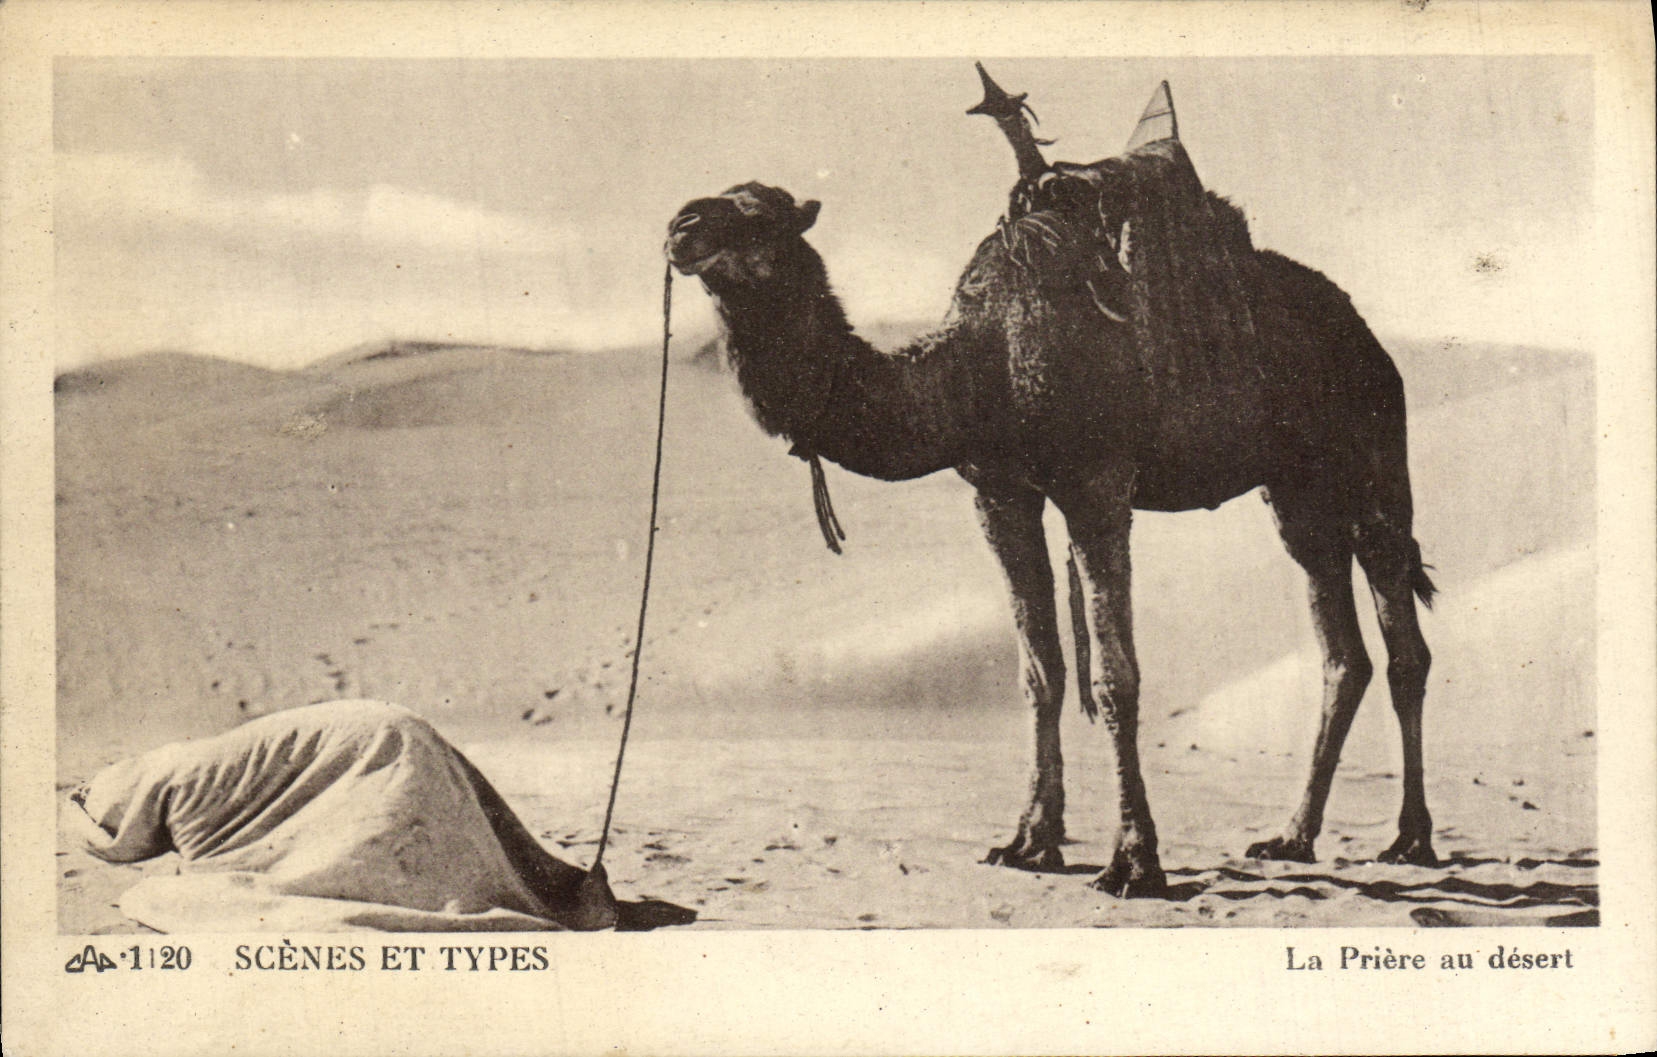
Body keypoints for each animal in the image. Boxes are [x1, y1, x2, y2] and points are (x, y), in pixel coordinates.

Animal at [663, 73, 1436, 896]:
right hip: (1296, 491)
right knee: (1342, 652)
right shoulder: (999, 494)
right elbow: (1040, 671)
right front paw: (1029, 840)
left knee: (1402, 644)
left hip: (1372, 457)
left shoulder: (1096, 485)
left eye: (761, 214)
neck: (981, 364)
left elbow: (1115, 676)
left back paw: (1410, 838)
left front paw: (1133, 861)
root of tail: (1366, 336)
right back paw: (1291, 836)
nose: (682, 224)